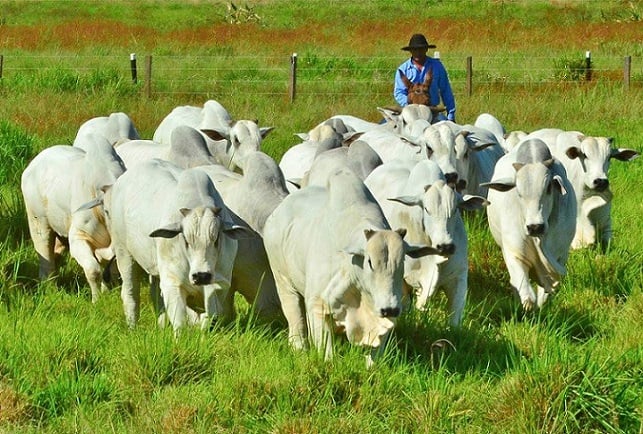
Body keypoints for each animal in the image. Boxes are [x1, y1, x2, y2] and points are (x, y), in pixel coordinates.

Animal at [21, 139, 127, 302]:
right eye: (109, 209)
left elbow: (112, 269)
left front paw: (108, 291)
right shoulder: (79, 237)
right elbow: (93, 270)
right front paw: (96, 300)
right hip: (37, 221)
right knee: (45, 256)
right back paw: (49, 286)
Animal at [104, 159, 248, 328]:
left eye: (217, 238)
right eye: (185, 239)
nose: (201, 276)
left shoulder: (220, 284)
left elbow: (210, 316)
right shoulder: (172, 283)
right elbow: (180, 322)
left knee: (156, 295)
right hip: (124, 254)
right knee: (130, 293)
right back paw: (132, 326)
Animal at [262, 168, 438, 364]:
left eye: (402, 262)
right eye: (369, 262)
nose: (389, 308)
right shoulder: (317, 305)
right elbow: (326, 353)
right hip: (283, 280)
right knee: (295, 317)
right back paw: (299, 348)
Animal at [484, 137, 580, 310]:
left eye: (548, 188)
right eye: (518, 192)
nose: (535, 227)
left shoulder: (560, 256)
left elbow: (544, 295)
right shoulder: (514, 252)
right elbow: (527, 296)